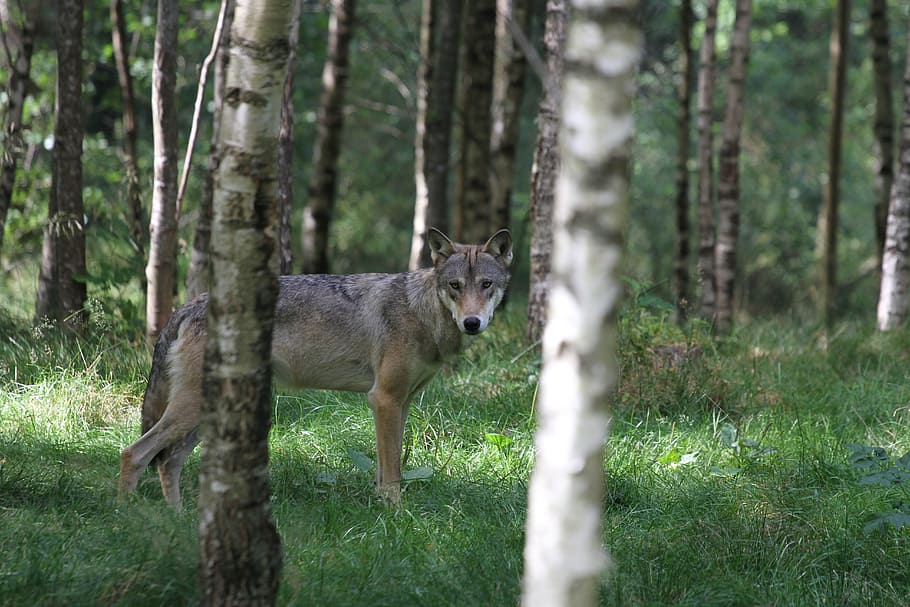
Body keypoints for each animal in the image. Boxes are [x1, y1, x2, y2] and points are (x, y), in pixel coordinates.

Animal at [118, 228, 512, 509]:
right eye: (455, 286)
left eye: (486, 285)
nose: (472, 323)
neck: (422, 312)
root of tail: (189, 305)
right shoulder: (384, 399)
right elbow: (392, 472)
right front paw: (396, 515)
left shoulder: (401, 404)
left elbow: (386, 467)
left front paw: (382, 510)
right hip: (191, 410)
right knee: (134, 454)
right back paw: (127, 516)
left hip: (204, 415)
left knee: (168, 462)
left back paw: (179, 521)